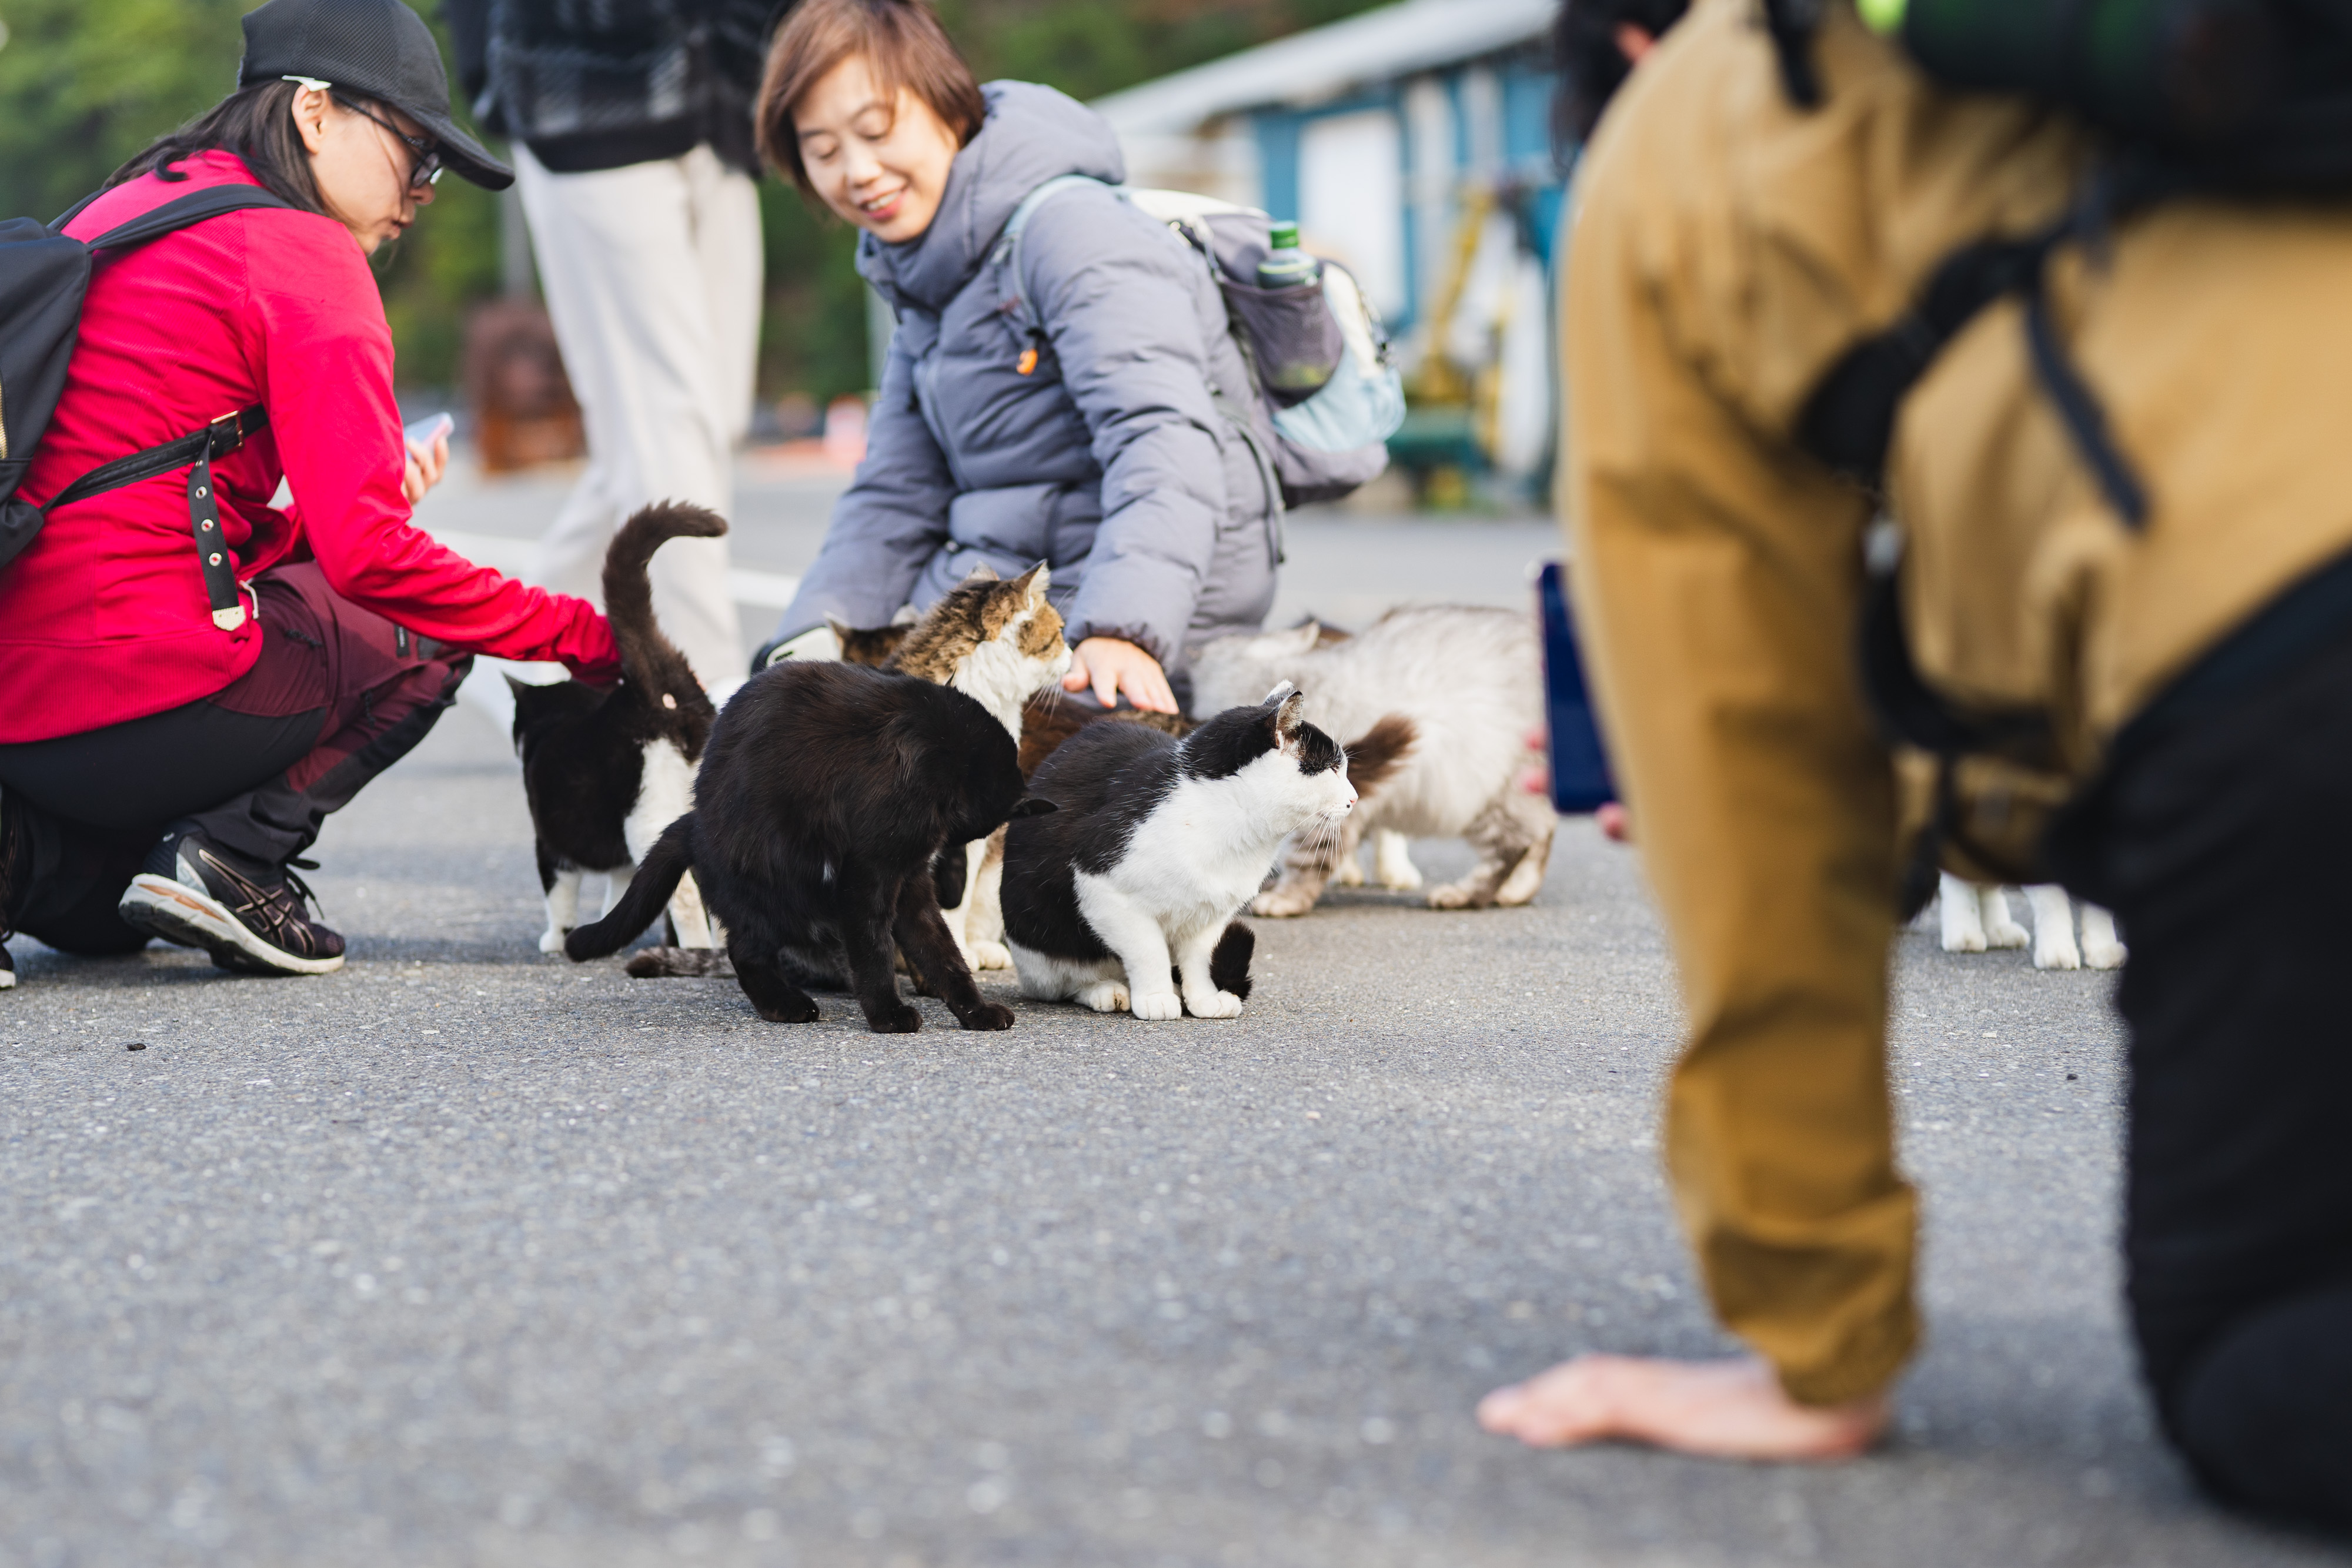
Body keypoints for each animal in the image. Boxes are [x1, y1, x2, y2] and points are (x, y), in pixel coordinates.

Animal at [515, 503, 724, 959]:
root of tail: (650, 694)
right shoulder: (622, 863)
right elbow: (624, 892)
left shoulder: (550, 845)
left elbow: (559, 896)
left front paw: (558, 940)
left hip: (648, 816)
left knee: (685, 896)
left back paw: (696, 950)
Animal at [564, 658, 1054, 1034]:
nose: (953, 851)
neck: (943, 747)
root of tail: (693, 822)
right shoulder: (868, 873)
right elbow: (873, 948)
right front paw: (888, 1015)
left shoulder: (910, 877)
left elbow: (942, 950)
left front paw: (975, 1010)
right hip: (778, 888)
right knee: (745, 951)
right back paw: (788, 1005)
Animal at [997, 681, 1364, 1025]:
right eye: (1332, 769)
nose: (1355, 798)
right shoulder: (1103, 887)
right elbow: (1149, 951)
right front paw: (1156, 997)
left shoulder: (1211, 915)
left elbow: (1200, 959)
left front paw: (1203, 999)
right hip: (1040, 937)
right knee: (1065, 981)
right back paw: (1108, 991)